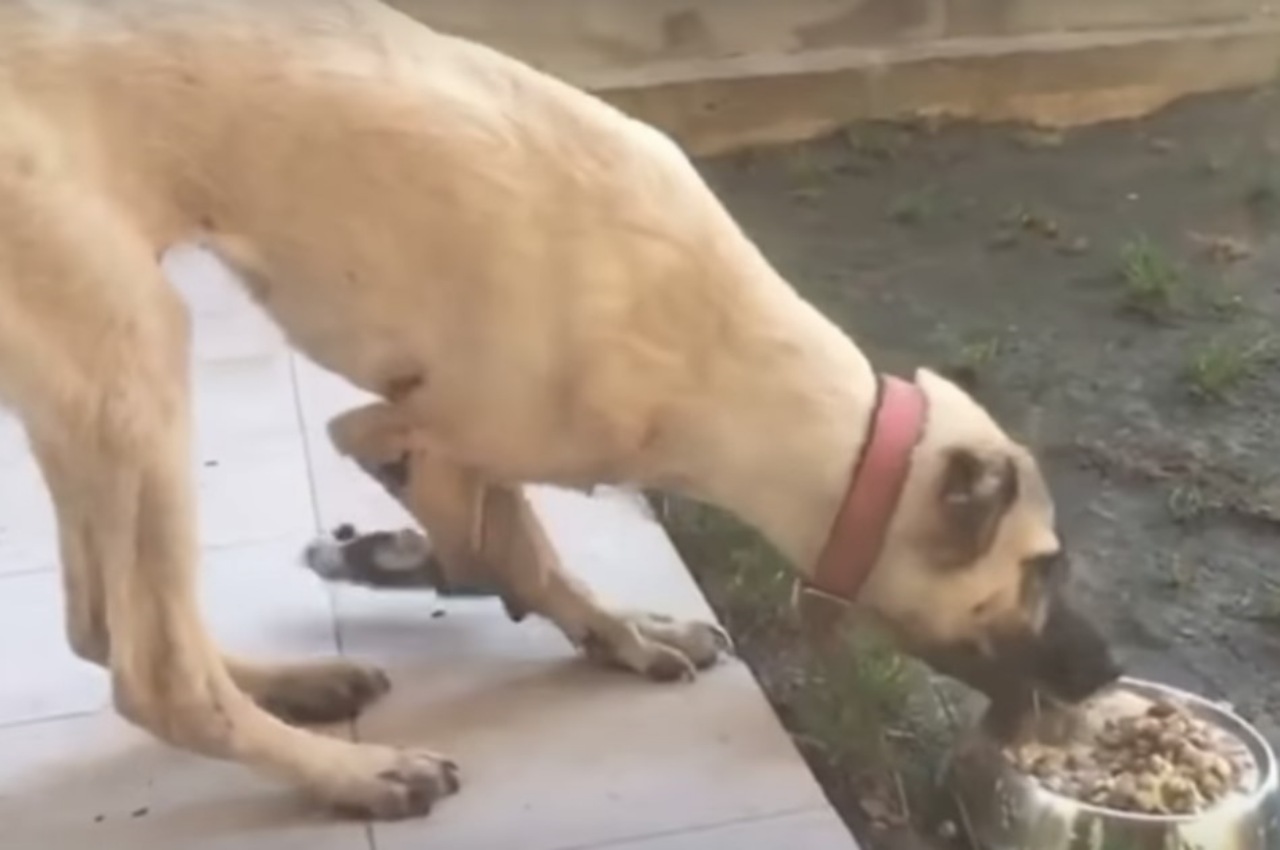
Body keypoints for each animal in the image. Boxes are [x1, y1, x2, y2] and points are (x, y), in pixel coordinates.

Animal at [0, 0, 1121, 824]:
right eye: (1040, 569)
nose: (1109, 667)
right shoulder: (416, 436)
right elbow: (510, 546)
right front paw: (469, 578)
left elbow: (521, 544)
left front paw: (610, 627)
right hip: (137, 357)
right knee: (155, 668)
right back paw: (352, 772)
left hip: (86, 386)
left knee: (101, 626)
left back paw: (296, 688)